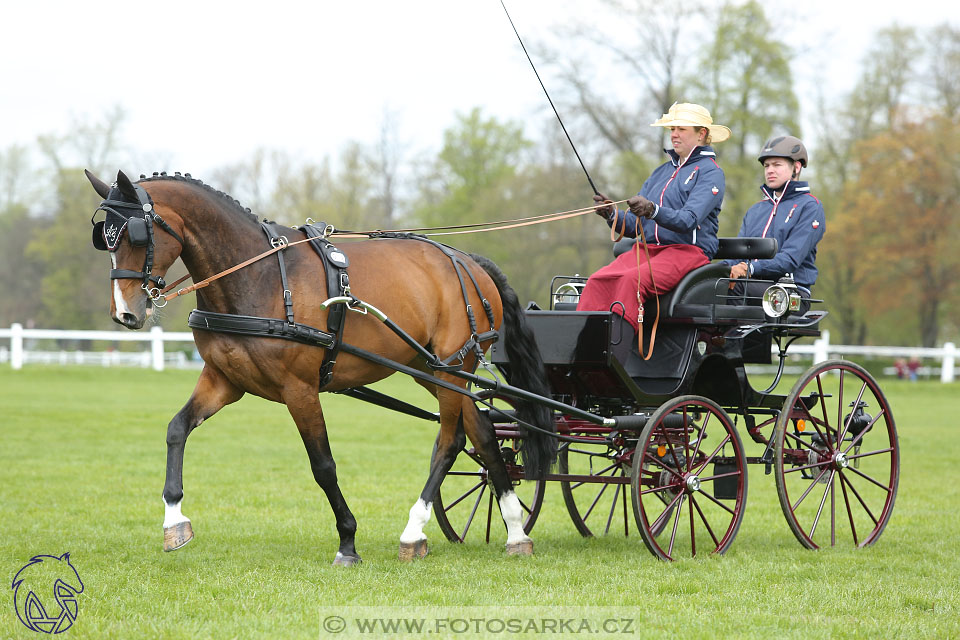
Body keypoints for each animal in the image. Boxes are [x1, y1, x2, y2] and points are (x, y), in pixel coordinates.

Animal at [90, 169, 560, 564]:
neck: (260, 276)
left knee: (449, 440)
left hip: (451, 367)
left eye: (135, 236)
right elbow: (176, 429)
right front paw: (174, 520)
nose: (124, 313)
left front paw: (347, 541)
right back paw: (515, 532)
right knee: (482, 434)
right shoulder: (224, 381)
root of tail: (469, 261)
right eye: (104, 239)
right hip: (430, 368)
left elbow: (323, 465)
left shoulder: (299, 389)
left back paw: (414, 531)